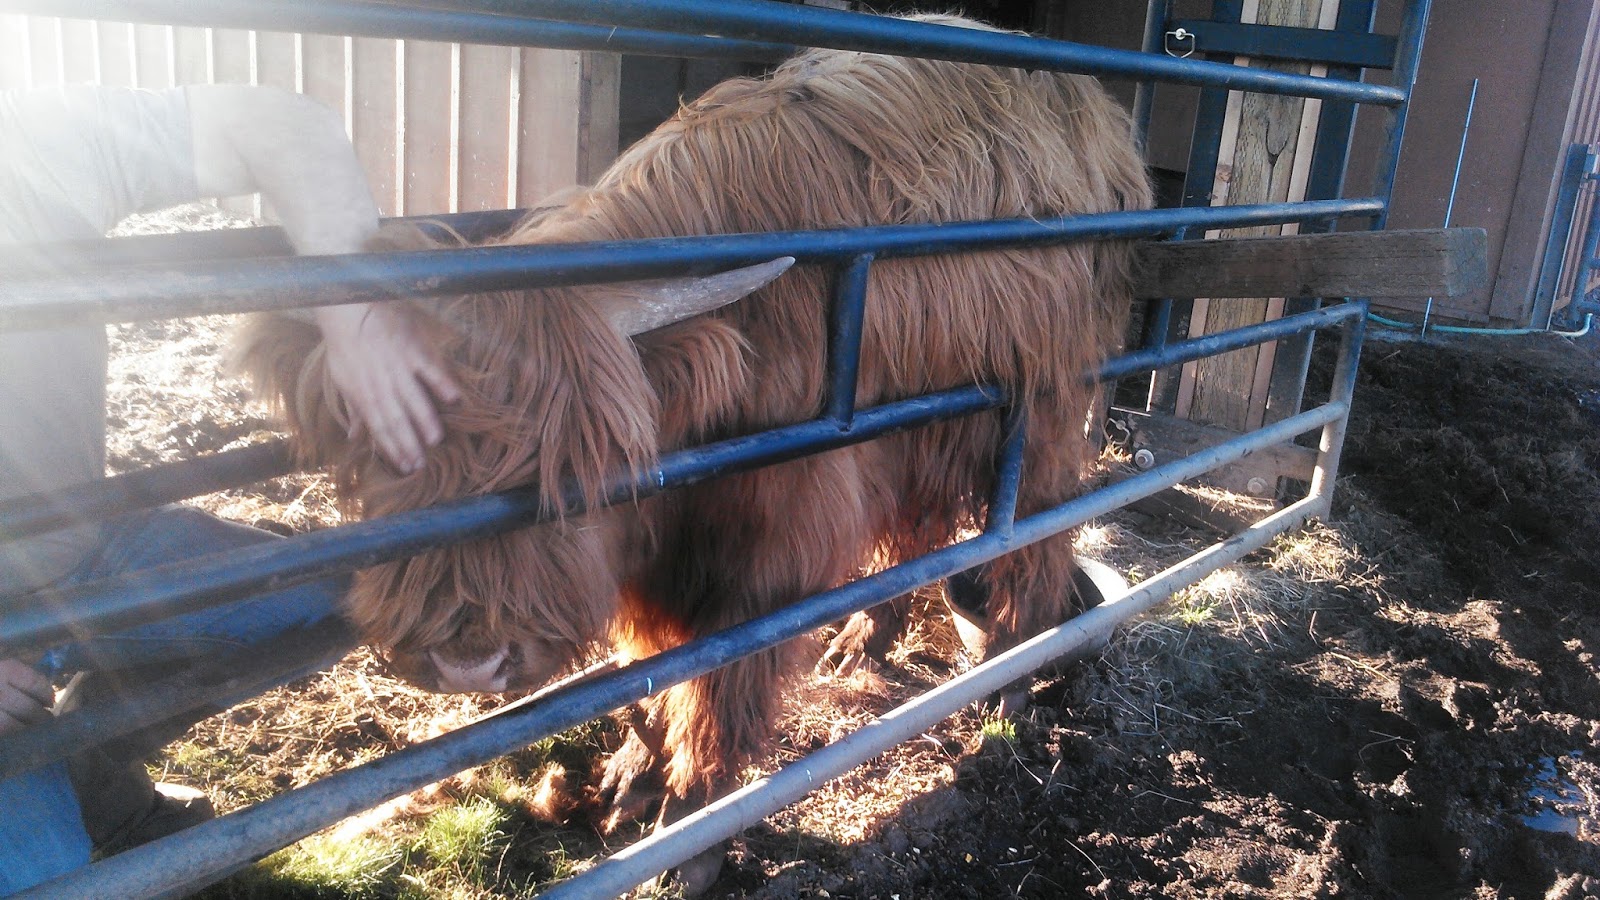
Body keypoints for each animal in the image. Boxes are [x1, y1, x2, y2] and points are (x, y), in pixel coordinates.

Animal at [236, 13, 1150, 889]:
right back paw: (866, 638)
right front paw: (629, 778)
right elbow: (656, 669)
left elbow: (718, 688)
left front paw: (690, 832)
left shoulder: (773, 551)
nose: (468, 662)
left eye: (580, 468)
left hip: (1045, 405)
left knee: (1037, 537)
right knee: (914, 533)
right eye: (375, 450)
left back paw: (1009, 677)